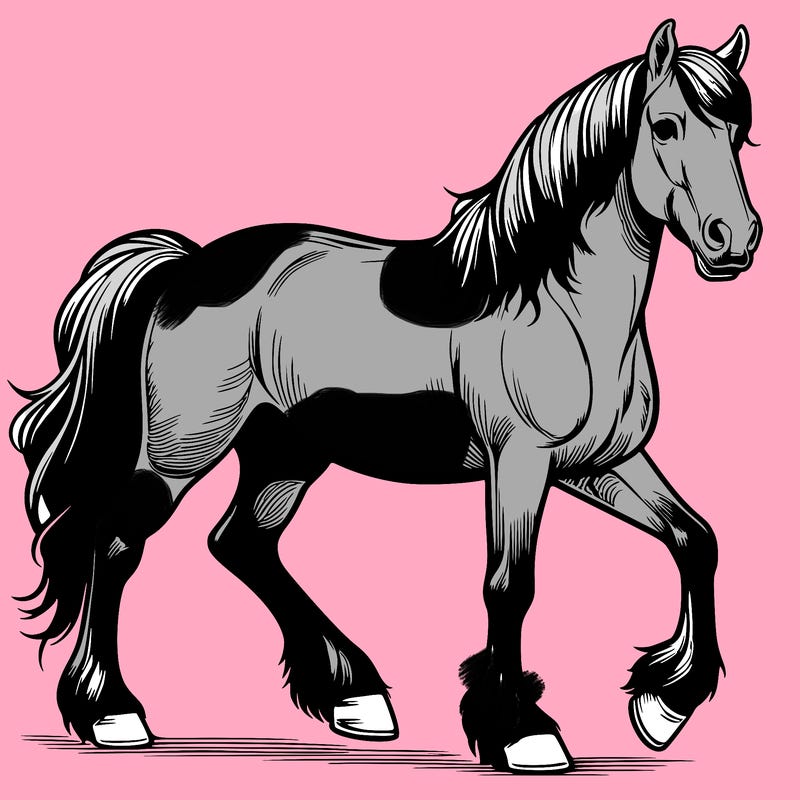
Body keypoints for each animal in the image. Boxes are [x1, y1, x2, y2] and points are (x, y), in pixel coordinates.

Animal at [10, 20, 760, 773]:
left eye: (739, 132)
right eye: (664, 126)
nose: (735, 240)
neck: (556, 302)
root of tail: (185, 268)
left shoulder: (599, 463)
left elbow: (696, 540)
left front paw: (664, 705)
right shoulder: (520, 462)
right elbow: (509, 585)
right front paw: (523, 731)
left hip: (286, 452)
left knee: (241, 543)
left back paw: (355, 695)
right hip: (180, 453)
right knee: (117, 545)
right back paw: (113, 713)